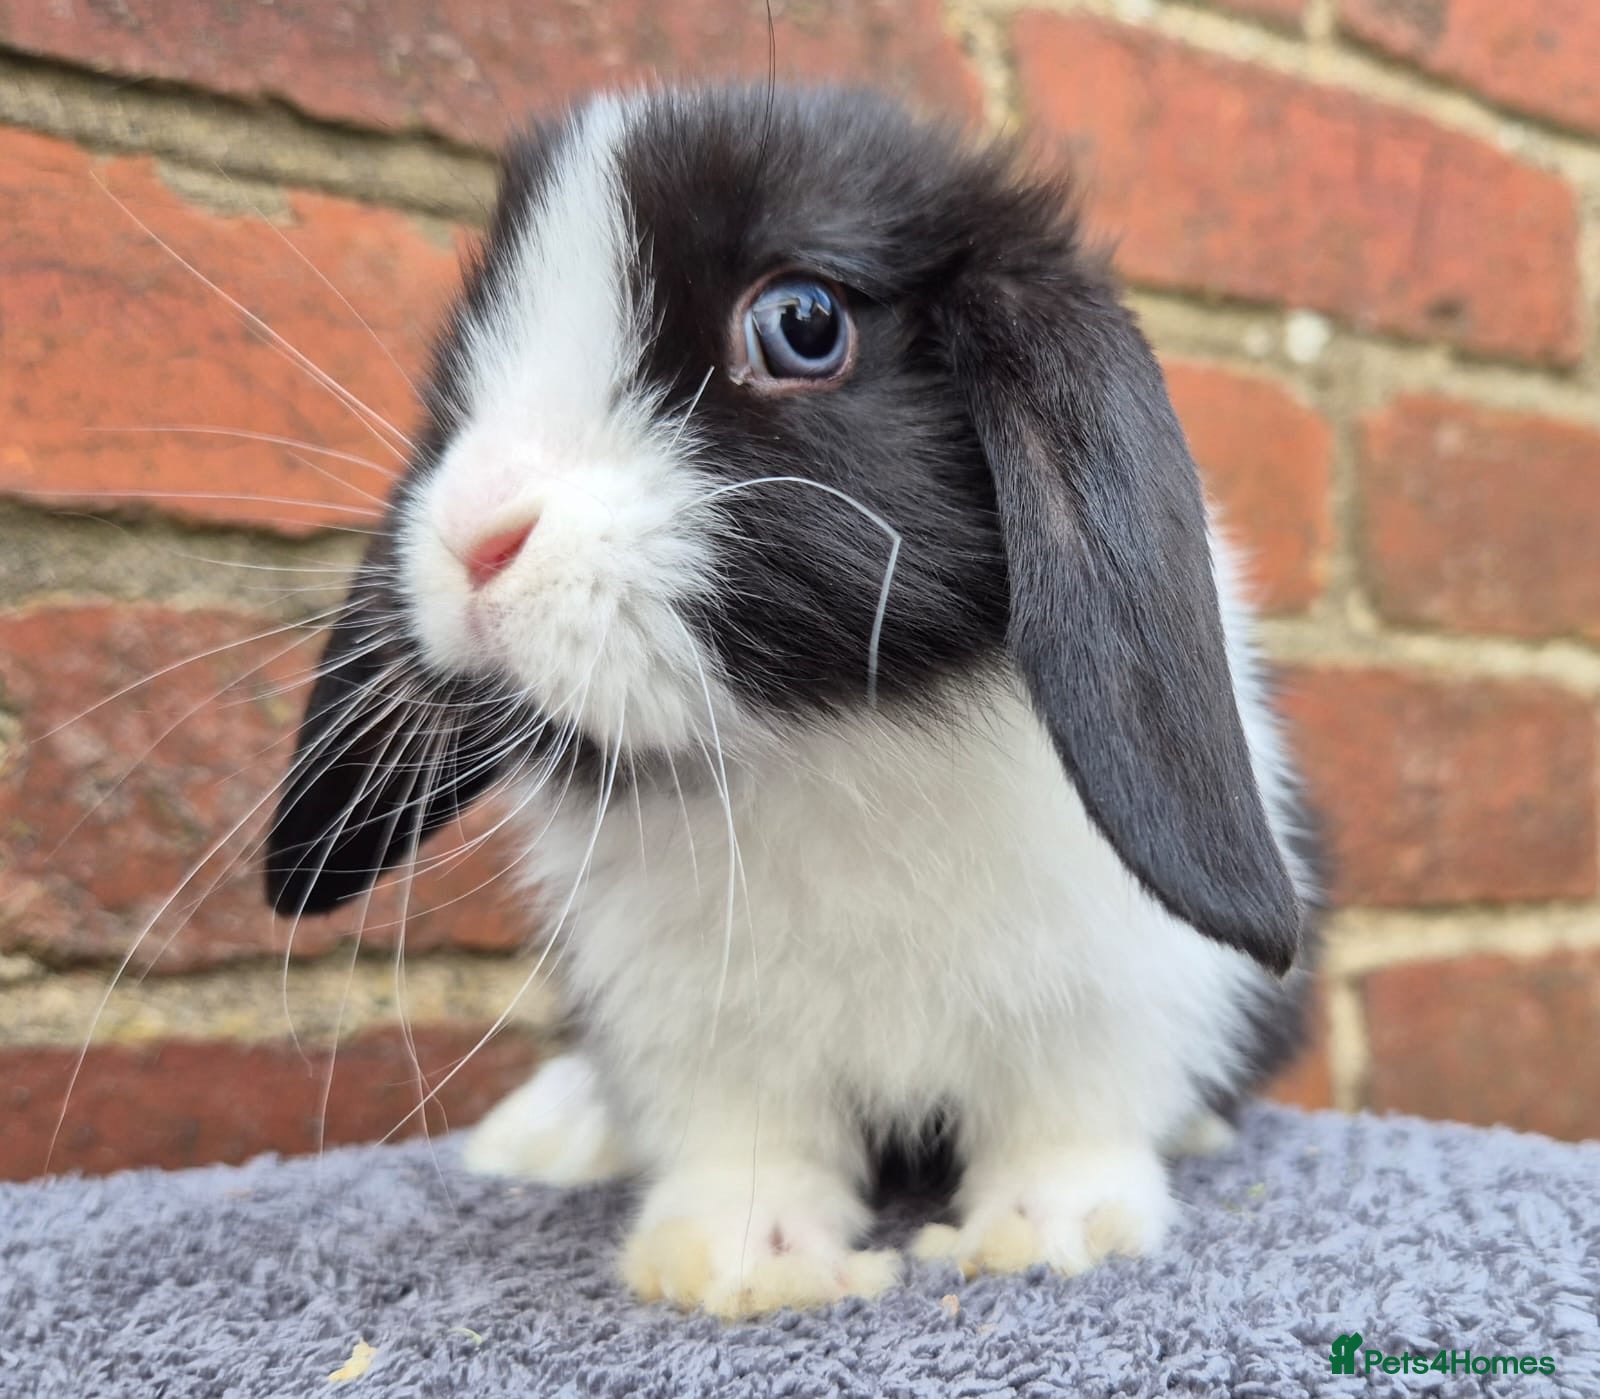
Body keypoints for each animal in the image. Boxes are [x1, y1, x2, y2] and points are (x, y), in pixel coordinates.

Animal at [263, 85, 1321, 1319]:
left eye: (803, 325)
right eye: (468, 345)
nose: (472, 534)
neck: (826, 739)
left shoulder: (1118, 985)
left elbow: (1070, 1106)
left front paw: (1049, 1235)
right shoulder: (692, 1020)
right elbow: (744, 1136)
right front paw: (740, 1266)